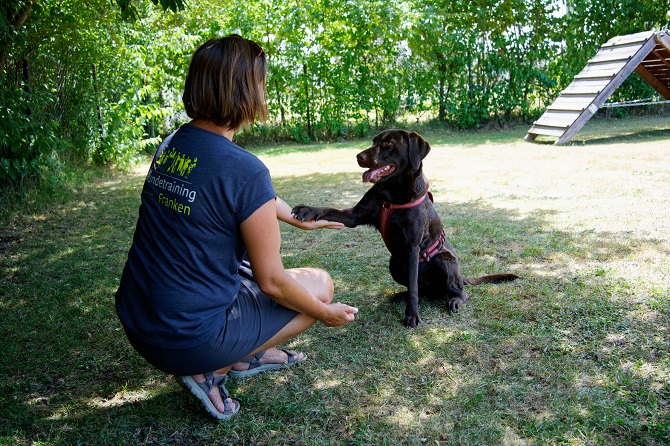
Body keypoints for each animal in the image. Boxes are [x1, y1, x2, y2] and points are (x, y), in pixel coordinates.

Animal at [294, 129, 520, 328]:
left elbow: (413, 287)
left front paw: (412, 316)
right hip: (394, 263)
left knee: (459, 291)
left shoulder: (412, 247)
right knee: (422, 290)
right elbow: (329, 209)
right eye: (374, 141)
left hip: (443, 262)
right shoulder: (354, 216)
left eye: (388, 144)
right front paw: (308, 210)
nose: (358, 156)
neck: (392, 194)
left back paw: (455, 300)